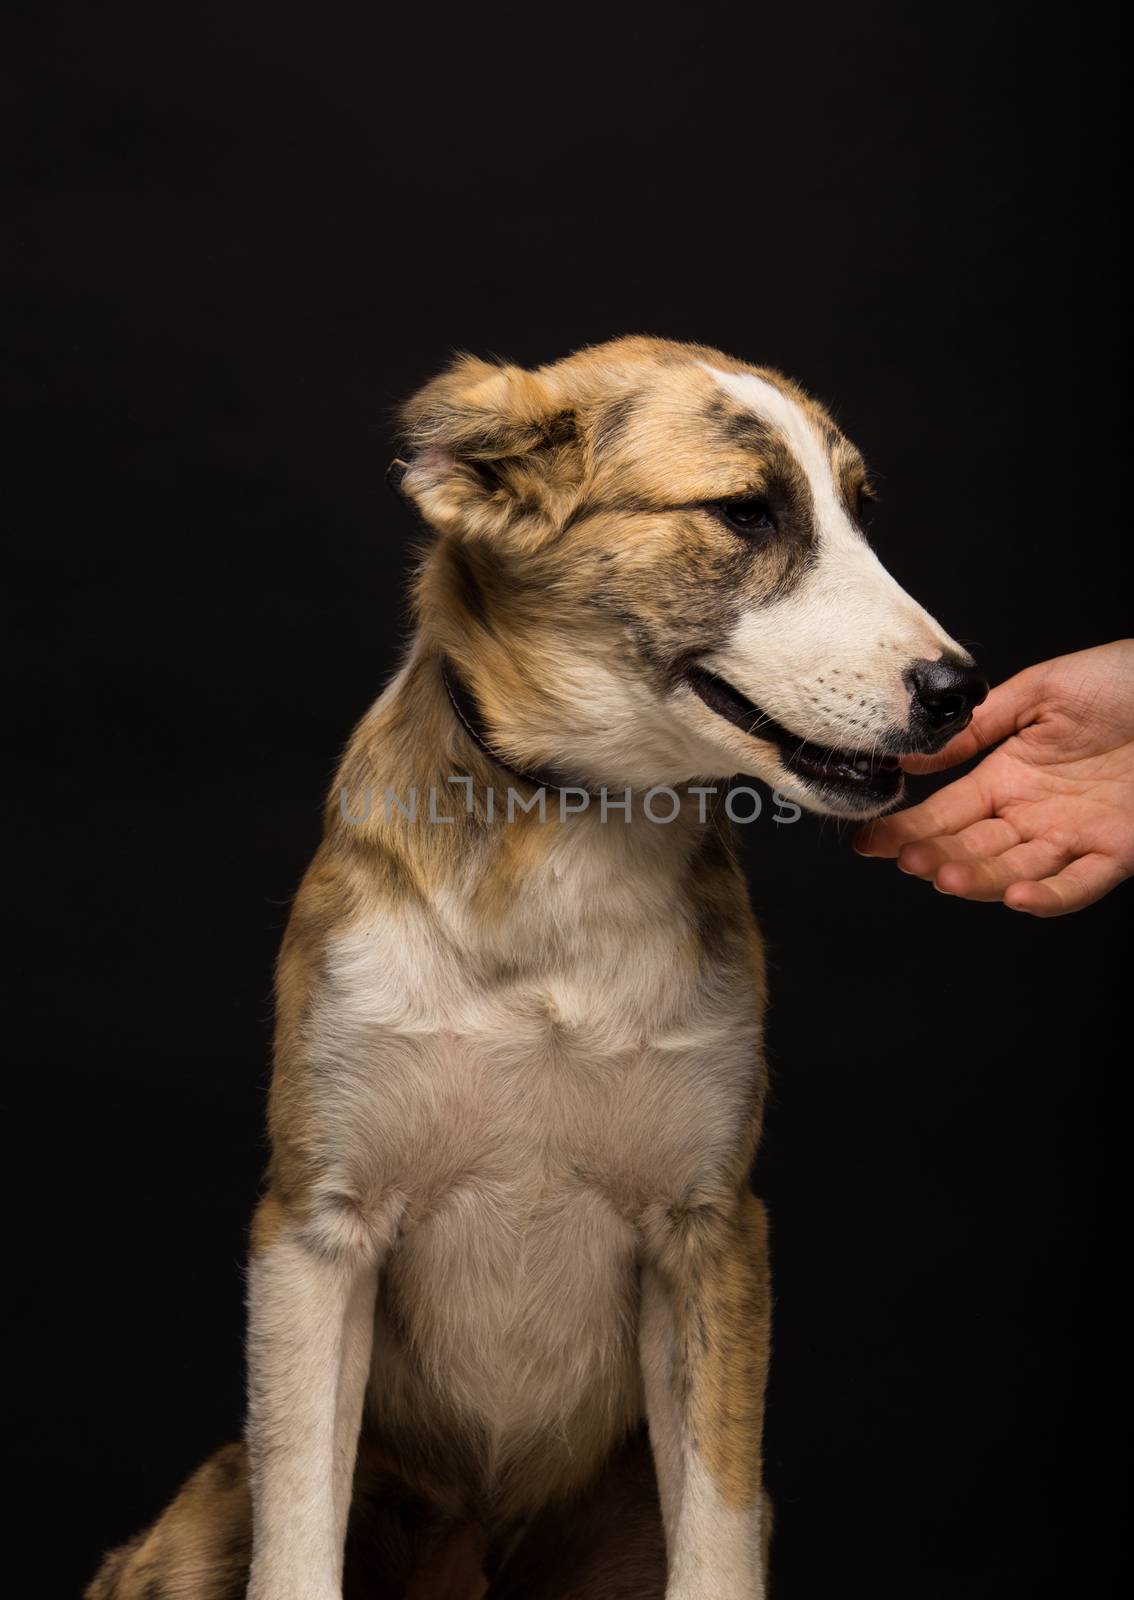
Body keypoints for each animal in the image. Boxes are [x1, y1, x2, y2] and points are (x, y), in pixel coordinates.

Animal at [92, 337, 985, 1600]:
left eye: (861, 513)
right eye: (746, 512)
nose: (963, 692)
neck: (575, 835)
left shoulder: (711, 1230)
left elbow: (715, 1542)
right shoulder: (316, 1226)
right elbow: (301, 1538)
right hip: (197, 1523)